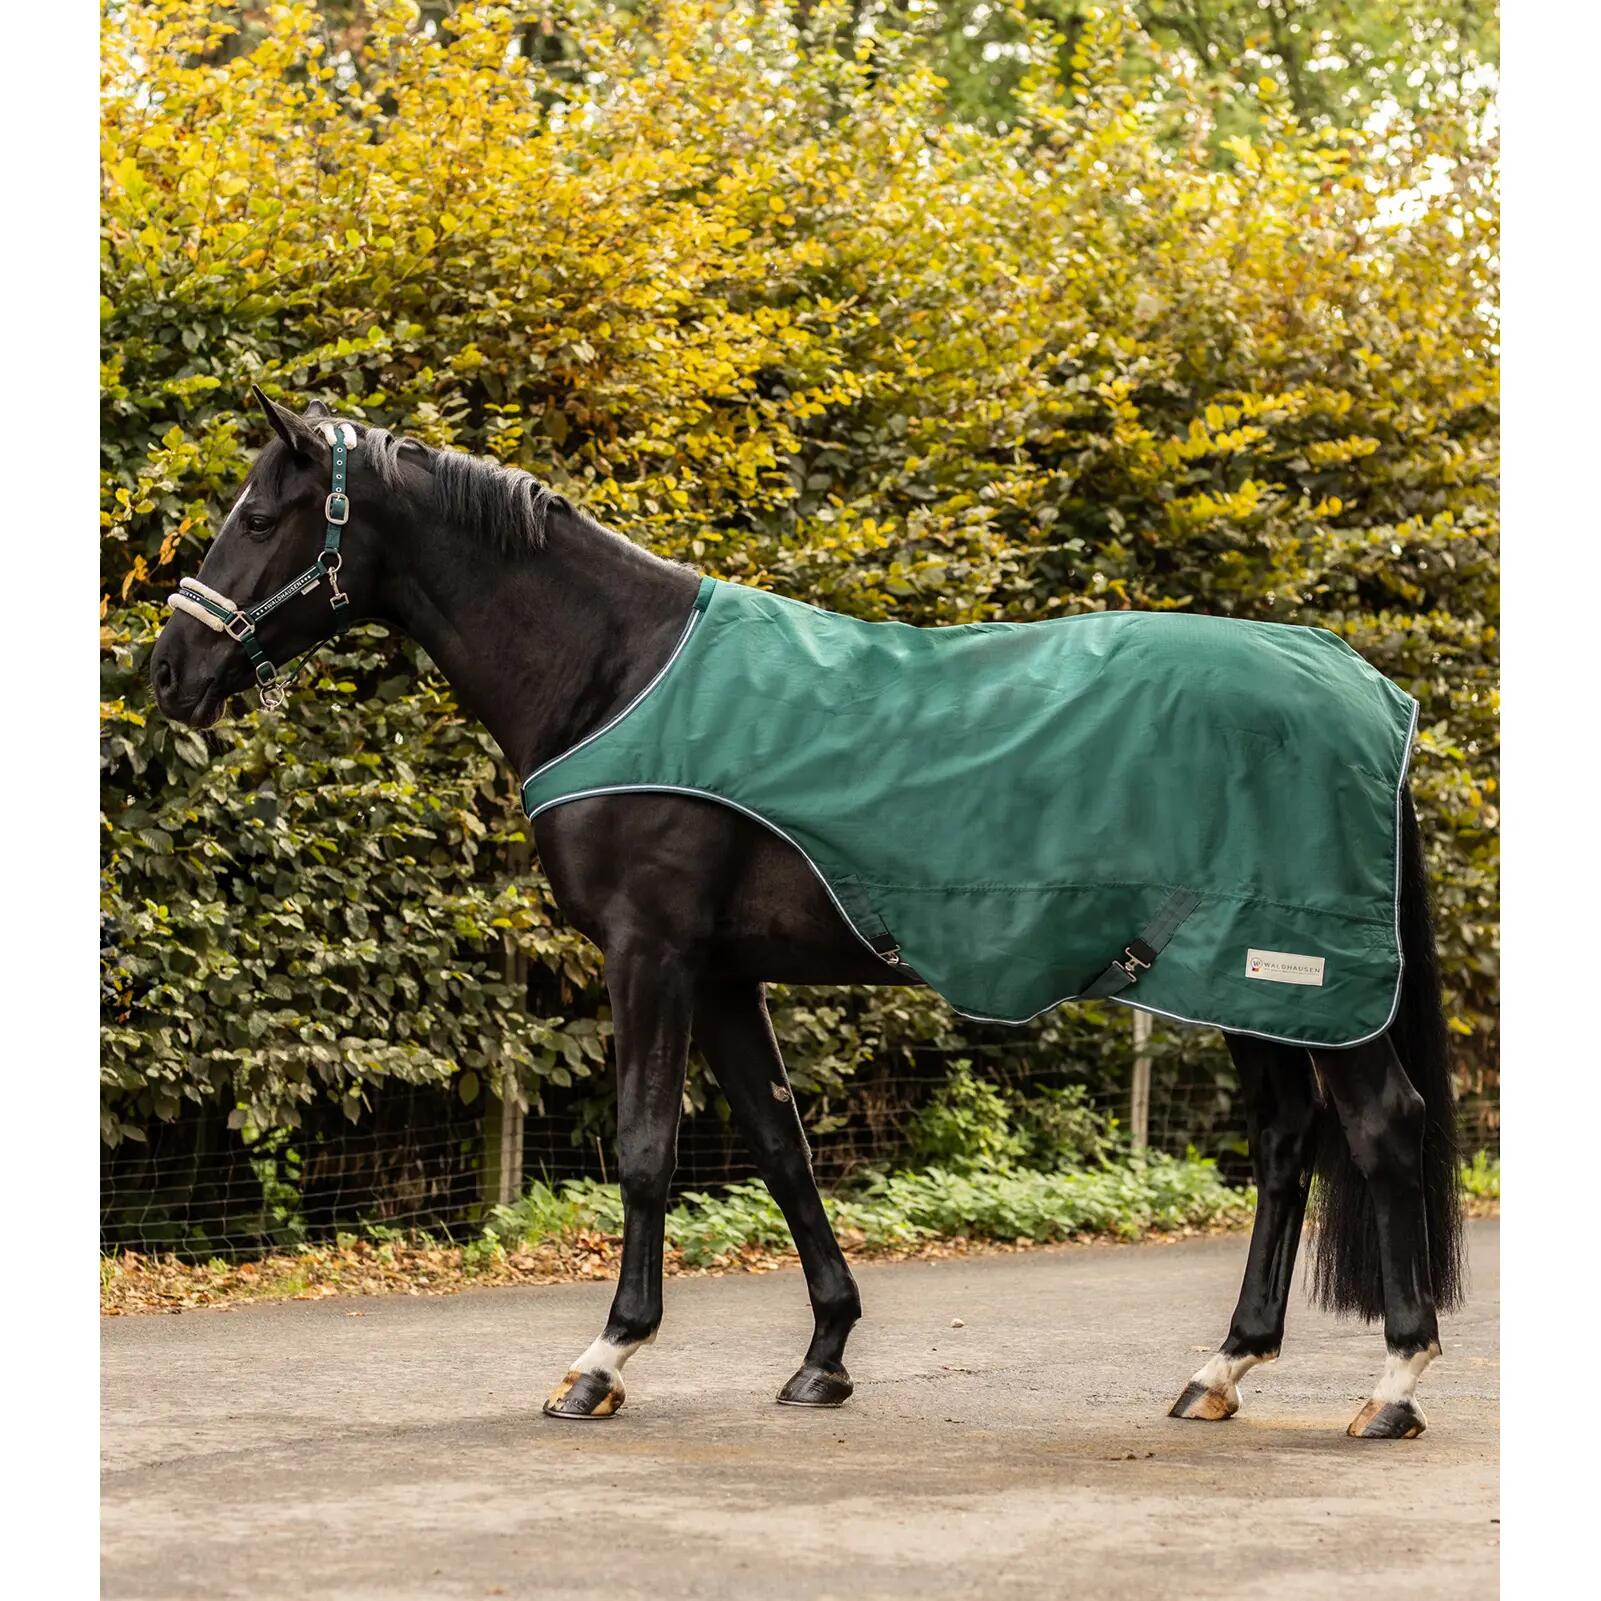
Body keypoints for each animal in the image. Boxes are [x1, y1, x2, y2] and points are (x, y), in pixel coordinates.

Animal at [150, 391, 1463, 1439]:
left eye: (258, 519)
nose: (168, 672)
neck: (615, 672)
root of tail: (1366, 689)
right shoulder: (723, 972)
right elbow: (780, 1147)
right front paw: (825, 1351)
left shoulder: (650, 954)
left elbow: (644, 1147)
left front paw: (602, 1360)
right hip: (1240, 981)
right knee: (1286, 1145)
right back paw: (1222, 1367)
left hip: (1287, 977)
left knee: (1379, 1128)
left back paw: (1393, 1383)